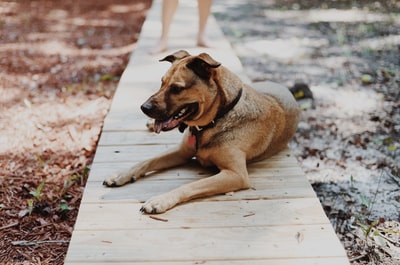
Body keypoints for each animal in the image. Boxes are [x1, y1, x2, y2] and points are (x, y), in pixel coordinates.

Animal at [103, 50, 300, 213]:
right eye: (161, 82)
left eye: (177, 88)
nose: (144, 108)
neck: (216, 118)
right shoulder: (182, 151)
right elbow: (147, 161)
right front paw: (121, 175)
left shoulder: (236, 174)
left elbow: (191, 185)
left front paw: (161, 200)